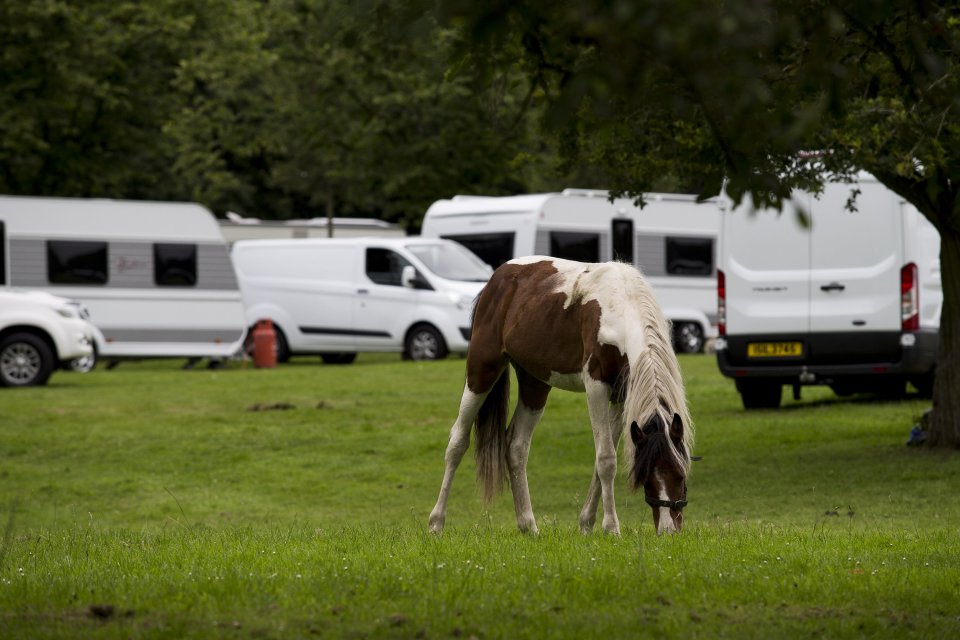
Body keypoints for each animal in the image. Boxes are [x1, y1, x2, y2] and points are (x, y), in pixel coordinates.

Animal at [426, 255, 688, 536]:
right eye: (647, 474)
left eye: (681, 474)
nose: (669, 530)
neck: (620, 305)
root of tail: (497, 277)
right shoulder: (596, 387)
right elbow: (606, 459)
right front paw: (611, 528)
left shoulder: (620, 397)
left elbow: (601, 460)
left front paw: (586, 524)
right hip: (482, 370)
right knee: (458, 441)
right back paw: (436, 523)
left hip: (535, 385)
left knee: (516, 446)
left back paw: (529, 527)